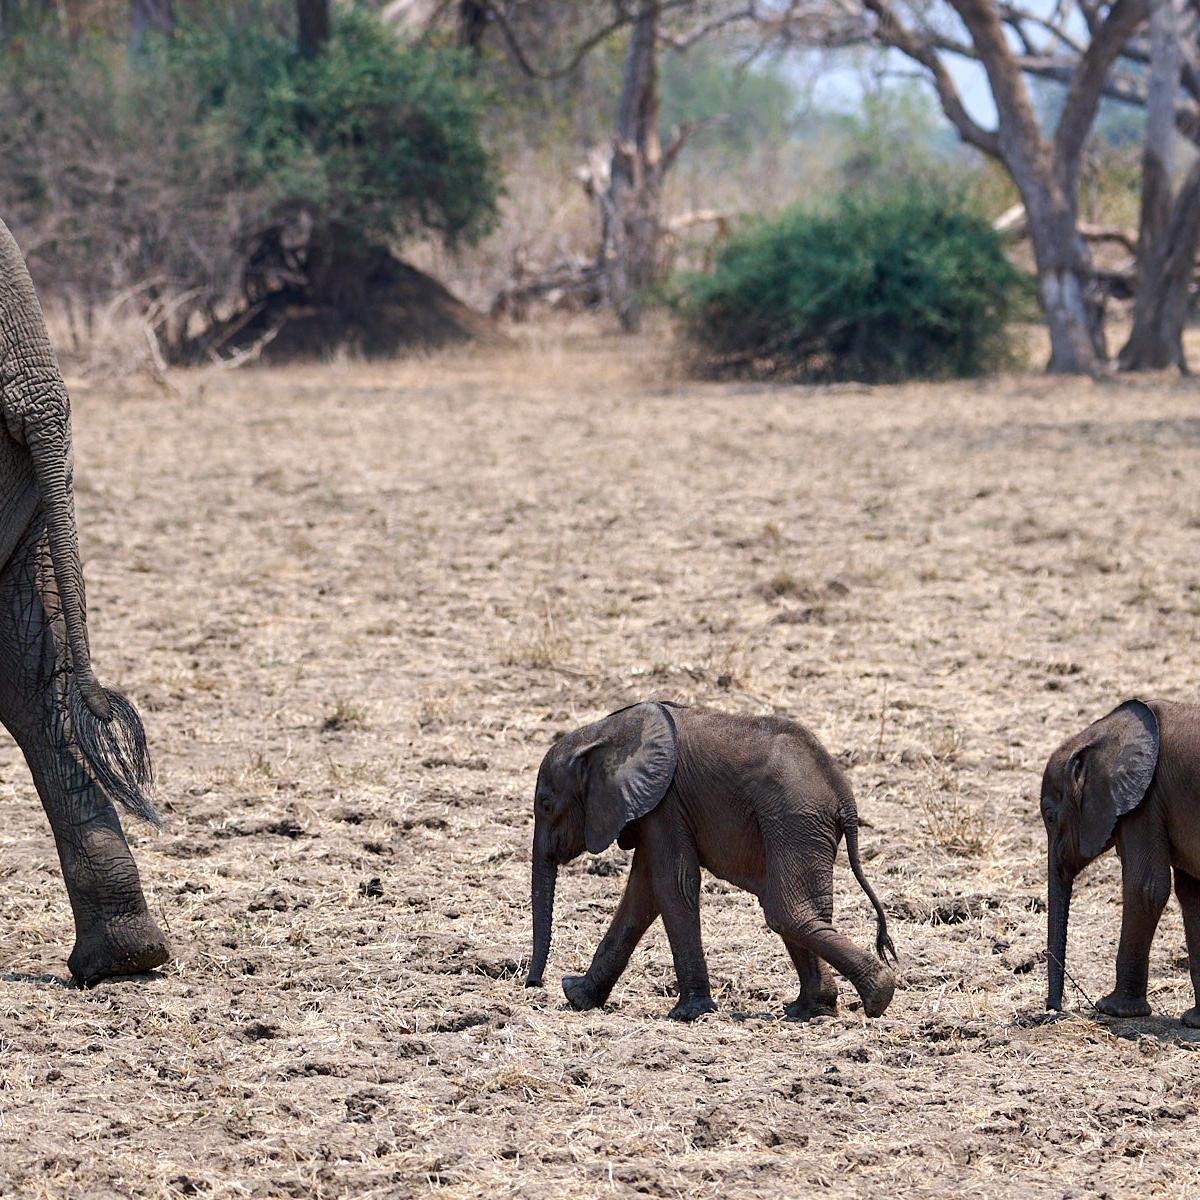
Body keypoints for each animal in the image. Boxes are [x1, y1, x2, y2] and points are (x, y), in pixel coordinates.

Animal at [525, 701, 897, 1021]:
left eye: (546, 804)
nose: (533, 984)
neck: (604, 733)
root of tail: (844, 795)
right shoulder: (652, 809)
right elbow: (643, 894)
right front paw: (577, 997)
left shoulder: (665, 802)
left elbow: (671, 884)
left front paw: (688, 1013)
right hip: (801, 825)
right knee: (801, 909)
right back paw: (812, 1010)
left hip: (794, 819)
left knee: (787, 911)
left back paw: (879, 993)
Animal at [1042, 697, 1200, 1024]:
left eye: (1050, 816)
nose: (1053, 1010)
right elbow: (1192, 896)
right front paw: (1195, 1021)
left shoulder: (1147, 800)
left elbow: (1145, 889)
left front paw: (1112, 1009)